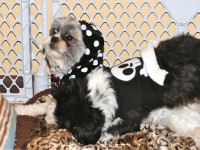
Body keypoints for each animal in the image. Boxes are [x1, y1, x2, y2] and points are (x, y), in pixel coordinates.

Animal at [42, 16, 200, 145]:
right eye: (54, 31)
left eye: (69, 37)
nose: (54, 38)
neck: (94, 96)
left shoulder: (130, 118)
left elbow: (115, 128)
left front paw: (103, 136)